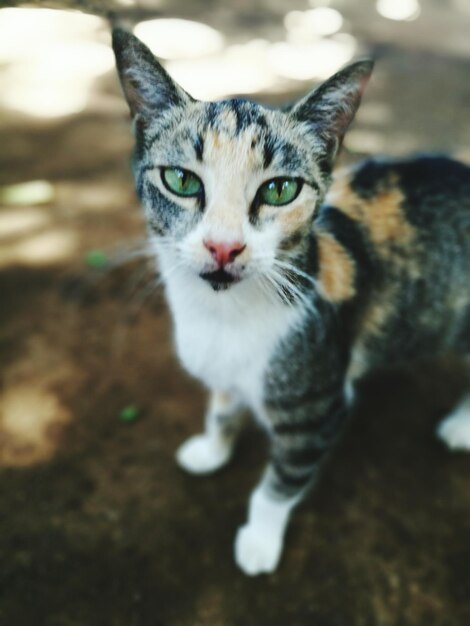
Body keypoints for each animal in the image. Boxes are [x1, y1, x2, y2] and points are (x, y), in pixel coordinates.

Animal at [113, 29, 470, 576]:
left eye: (280, 189)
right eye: (181, 181)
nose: (223, 246)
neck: (223, 318)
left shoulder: (318, 407)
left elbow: (280, 484)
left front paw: (260, 541)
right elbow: (222, 408)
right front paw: (211, 449)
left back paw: (460, 427)